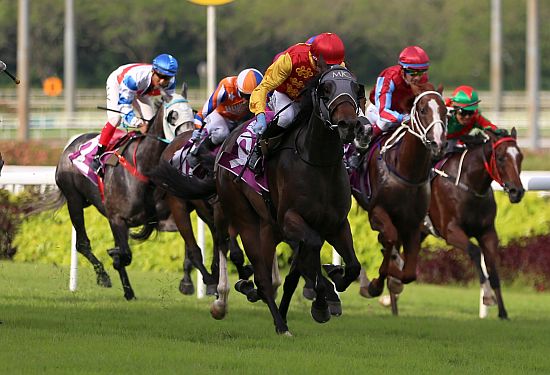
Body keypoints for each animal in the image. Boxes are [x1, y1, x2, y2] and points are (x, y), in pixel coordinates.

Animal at [36, 93, 194, 300]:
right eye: (172, 116)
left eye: (193, 112)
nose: (188, 139)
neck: (143, 167)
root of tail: (69, 147)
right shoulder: (117, 219)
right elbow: (124, 255)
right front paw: (115, 258)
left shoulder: (164, 219)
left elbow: (189, 243)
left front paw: (187, 282)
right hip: (74, 200)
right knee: (82, 244)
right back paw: (104, 277)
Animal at [211, 66, 362, 336]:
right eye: (326, 89)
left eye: (356, 88)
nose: (349, 124)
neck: (319, 163)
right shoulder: (291, 219)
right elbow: (312, 248)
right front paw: (321, 303)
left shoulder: (336, 223)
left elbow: (353, 266)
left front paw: (335, 277)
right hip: (245, 218)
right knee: (259, 273)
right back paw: (279, 324)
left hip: (268, 227)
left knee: (272, 275)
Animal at [356, 82, 450, 314]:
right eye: (423, 110)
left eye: (445, 111)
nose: (438, 144)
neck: (408, 172)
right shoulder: (376, 212)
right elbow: (389, 237)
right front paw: (374, 284)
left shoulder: (413, 224)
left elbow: (409, 273)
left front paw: (393, 280)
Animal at [422, 128, 528, 318]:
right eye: (500, 157)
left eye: (520, 156)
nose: (517, 192)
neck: (469, 185)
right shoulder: (450, 231)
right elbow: (475, 251)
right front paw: (487, 296)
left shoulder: (488, 233)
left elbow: (493, 269)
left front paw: (503, 312)